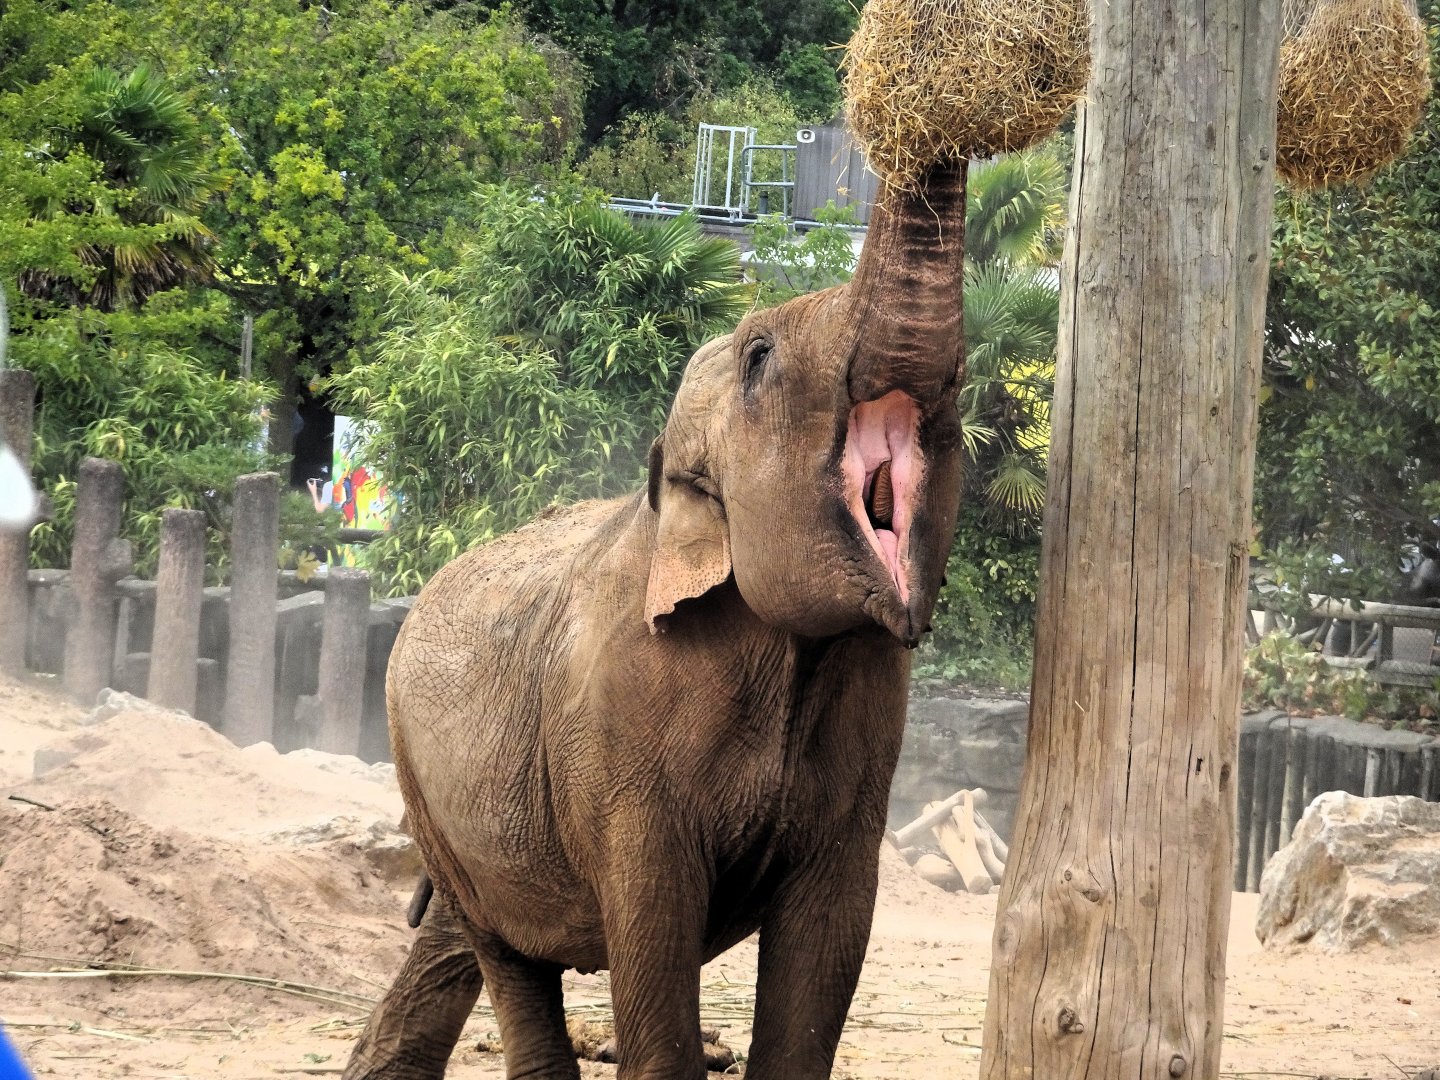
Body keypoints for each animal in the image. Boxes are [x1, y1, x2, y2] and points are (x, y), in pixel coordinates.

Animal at [340, 161, 970, 1080]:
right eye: (759, 357)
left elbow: (828, 940)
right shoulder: (620, 742)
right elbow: (653, 926)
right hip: (417, 774)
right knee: (504, 953)